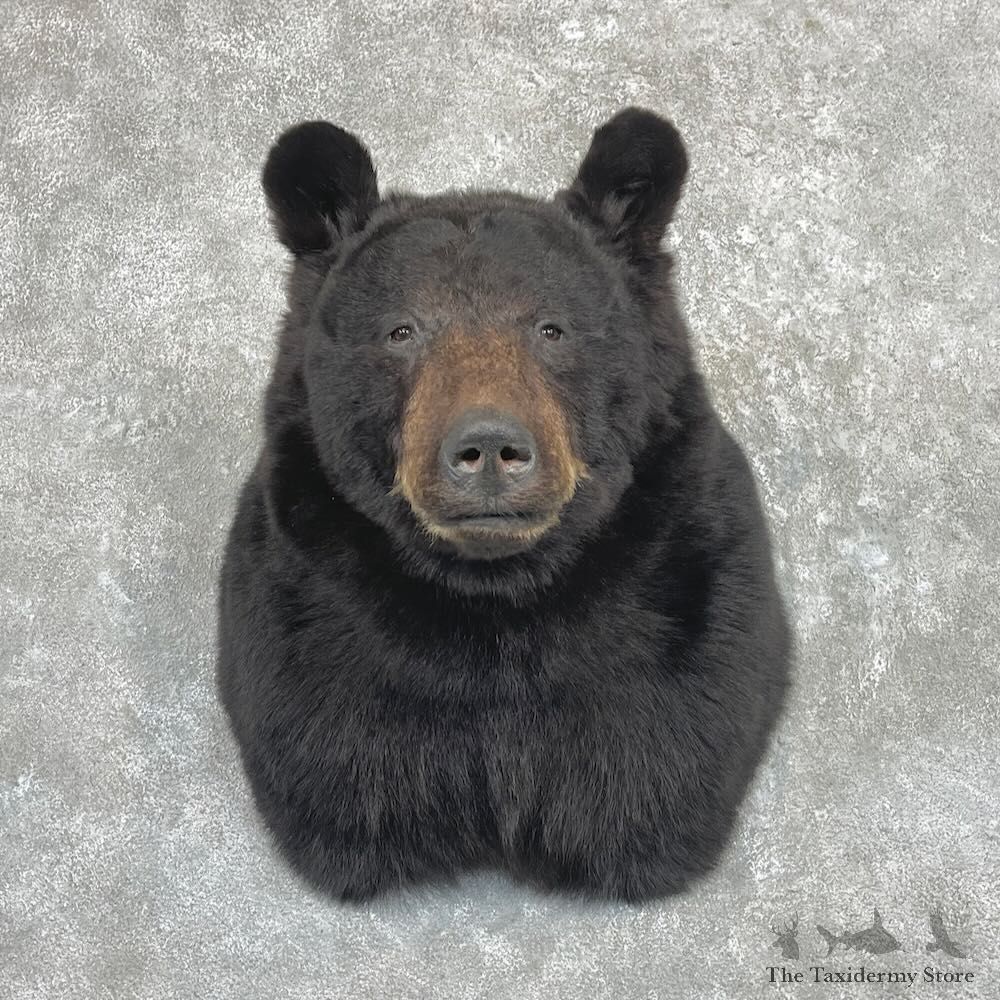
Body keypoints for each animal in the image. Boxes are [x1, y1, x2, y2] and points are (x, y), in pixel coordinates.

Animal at [216, 108, 792, 904]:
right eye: (402, 329)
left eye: (550, 327)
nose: (488, 447)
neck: (497, 597)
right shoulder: (311, 621)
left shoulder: (686, 603)